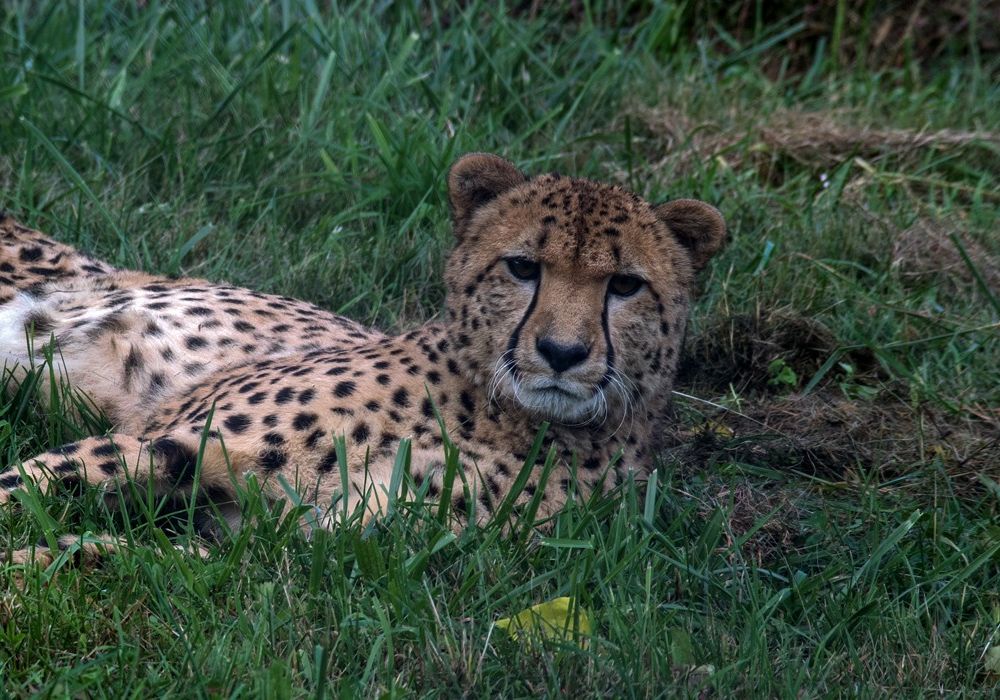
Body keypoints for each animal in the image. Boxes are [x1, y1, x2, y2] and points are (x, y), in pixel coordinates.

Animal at [0, 154, 720, 564]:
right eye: (522, 267)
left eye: (624, 285)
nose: (562, 353)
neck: (492, 416)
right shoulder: (175, 440)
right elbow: (26, 482)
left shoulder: (306, 539)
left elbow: (148, 558)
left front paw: (36, 566)